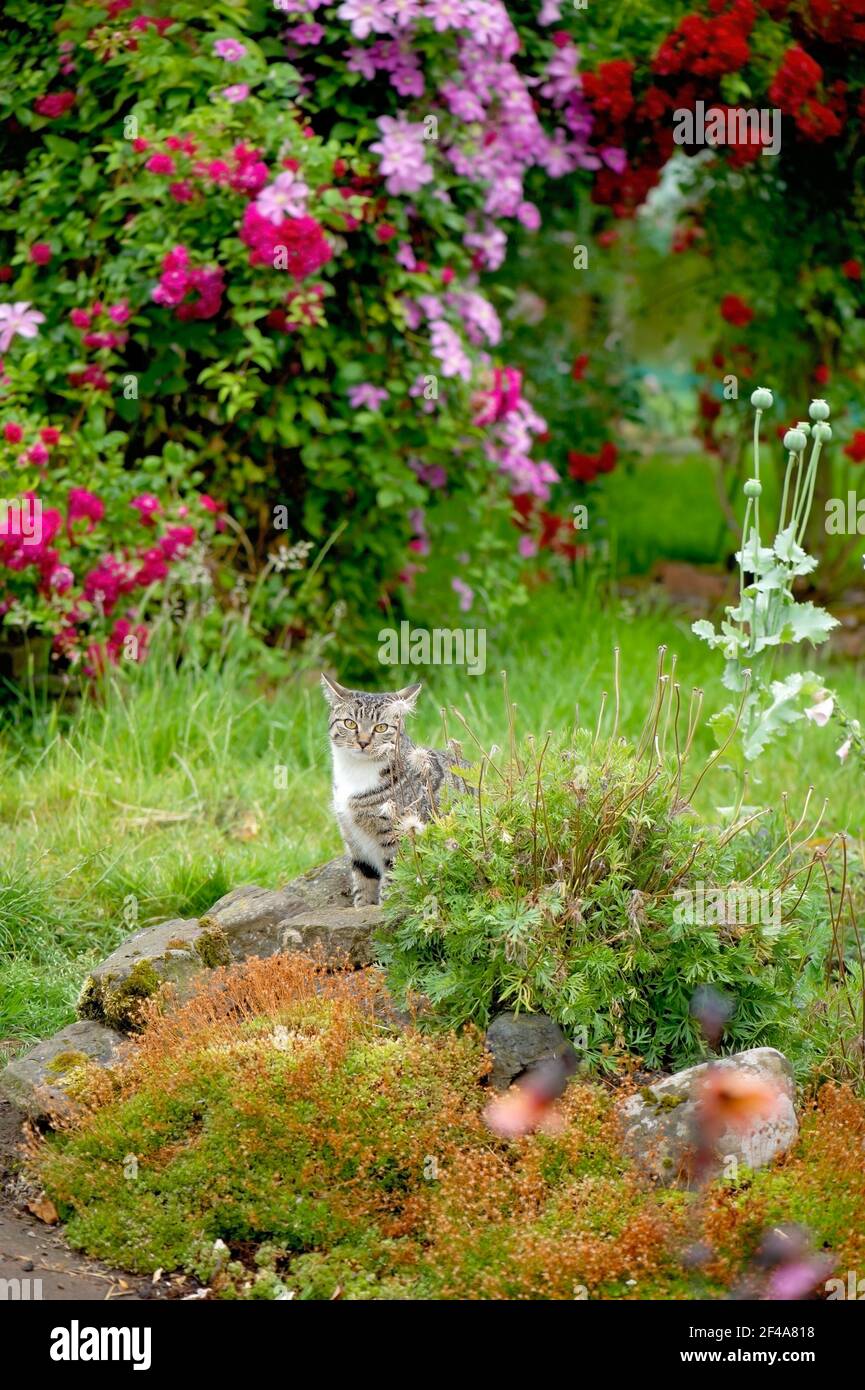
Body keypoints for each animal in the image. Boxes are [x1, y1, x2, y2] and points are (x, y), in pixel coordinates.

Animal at [319, 675, 467, 911]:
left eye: (381, 727)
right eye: (350, 723)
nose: (363, 742)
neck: (356, 773)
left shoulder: (398, 836)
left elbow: (393, 879)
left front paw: (384, 907)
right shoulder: (353, 840)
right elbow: (363, 881)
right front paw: (362, 907)